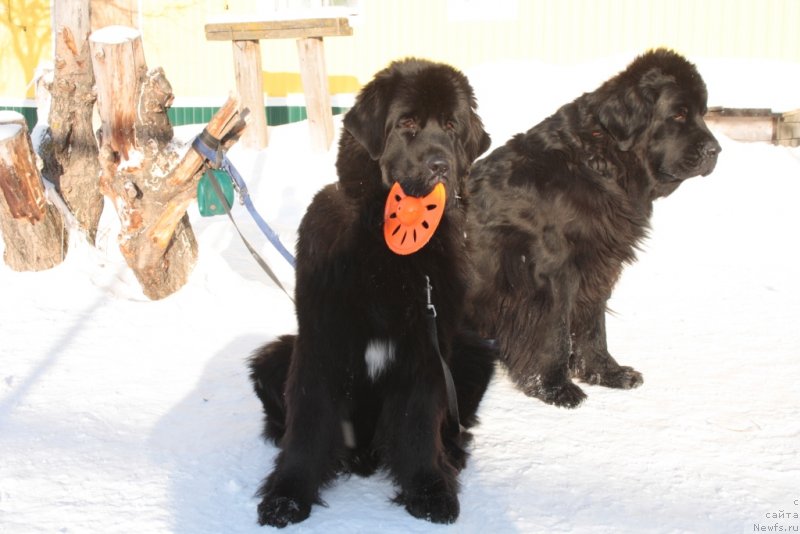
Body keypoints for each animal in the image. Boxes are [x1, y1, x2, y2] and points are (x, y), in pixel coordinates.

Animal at [247, 58, 494, 528]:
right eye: (408, 123)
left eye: (451, 126)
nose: (441, 165)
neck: (386, 252)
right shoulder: (319, 343)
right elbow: (307, 425)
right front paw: (286, 496)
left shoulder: (426, 350)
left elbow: (418, 424)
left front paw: (429, 490)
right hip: (273, 356)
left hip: (474, 352)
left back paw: (451, 455)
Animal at [466, 50, 720, 410]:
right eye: (678, 114)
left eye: (703, 114)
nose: (716, 150)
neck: (599, 164)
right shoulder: (552, 273)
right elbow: (556, 332)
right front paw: (556, 389)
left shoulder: (598, 266)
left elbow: (591, 327)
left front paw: (607, 373)